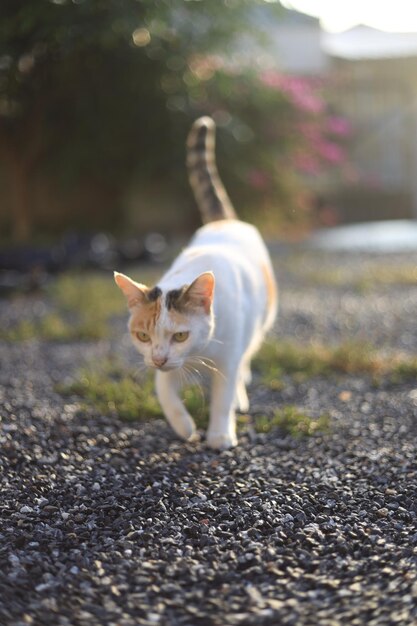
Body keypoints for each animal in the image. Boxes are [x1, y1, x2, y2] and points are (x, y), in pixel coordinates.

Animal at [114, 116, 276, 448]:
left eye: (180, 336)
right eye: (143, 336)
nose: (159, 358)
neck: (199, 352)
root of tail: (224, 221)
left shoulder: (228, 357)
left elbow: (222, 397)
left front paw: (220, 435)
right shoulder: (163, 366)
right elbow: (165, 391)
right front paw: (184, 426)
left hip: (258, 325)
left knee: (245, 361)